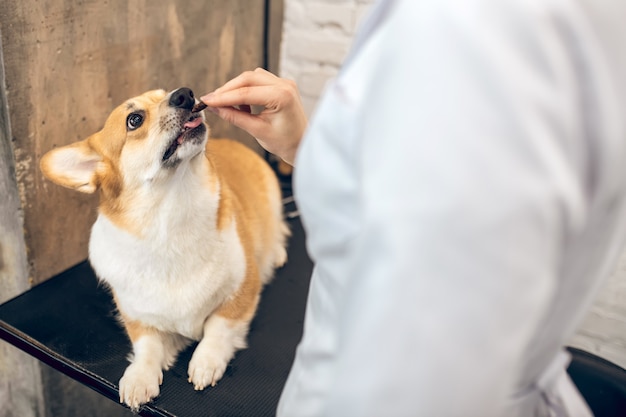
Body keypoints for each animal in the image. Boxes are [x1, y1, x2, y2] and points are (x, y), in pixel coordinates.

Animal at [40, 87, 288, 410]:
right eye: (134, 119)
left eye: (164, 92)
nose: (185, 94)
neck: (170, 220)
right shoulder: (138, 316)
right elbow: (147, 346)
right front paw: (138, 378)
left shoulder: (243, 289)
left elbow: (218, 327)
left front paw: (206, 361)